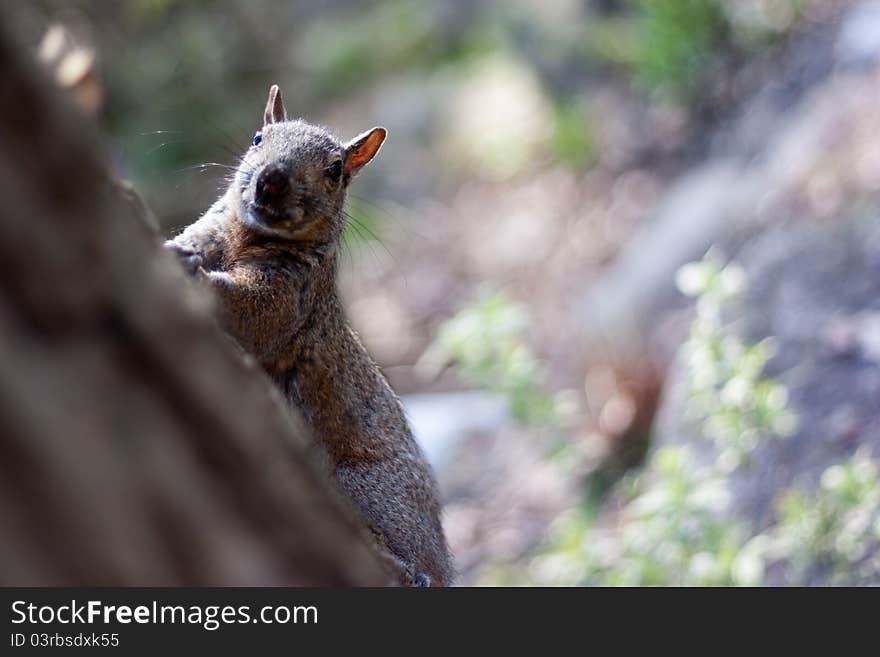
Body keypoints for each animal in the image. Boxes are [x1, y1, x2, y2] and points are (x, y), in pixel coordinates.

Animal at [165, 83, 454, 584]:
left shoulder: (289, 299)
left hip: (369, 489)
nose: (271, 180)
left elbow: (248, 312)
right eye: (258, 137)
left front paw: (195, 275)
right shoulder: (210, 230)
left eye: (335, 170)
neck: (249, 237)